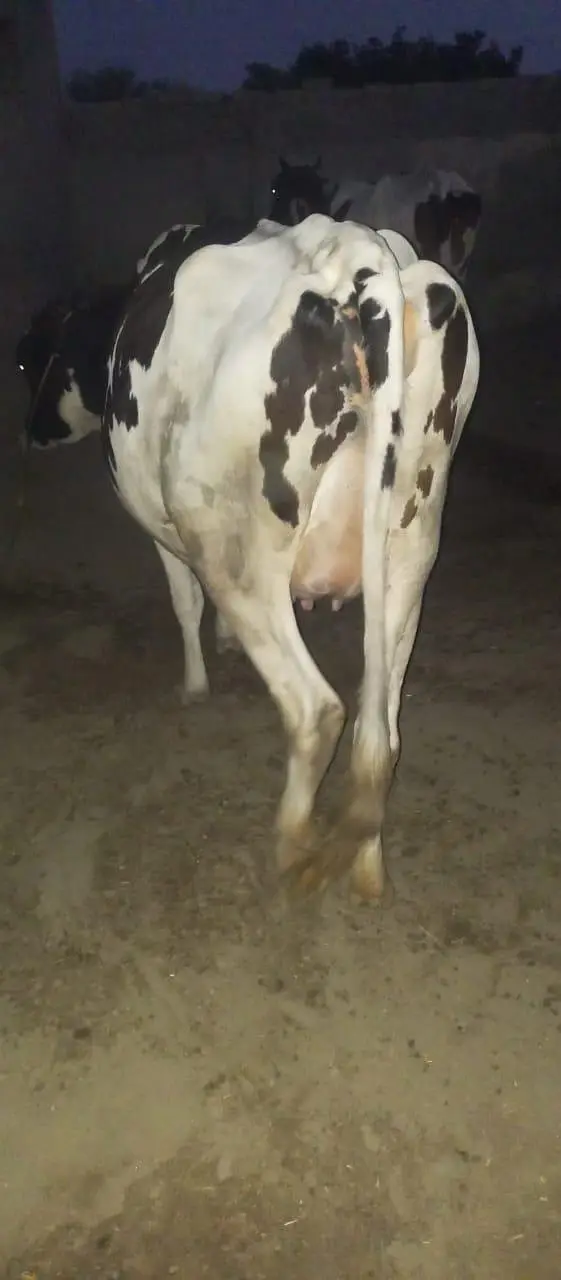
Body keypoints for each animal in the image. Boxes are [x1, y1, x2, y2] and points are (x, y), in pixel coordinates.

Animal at [102, 212, 480, 900]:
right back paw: (365, 869)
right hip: (412, 543)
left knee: (318, 711)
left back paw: (290, 846)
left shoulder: (164, 535)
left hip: (233, 548)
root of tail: (354, 253)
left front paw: (195, 683)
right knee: (377, 731)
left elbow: (182, 601)